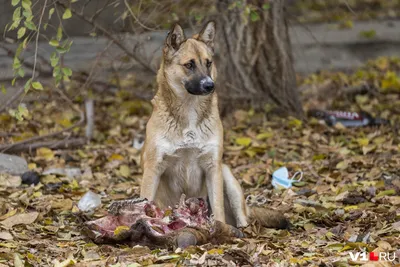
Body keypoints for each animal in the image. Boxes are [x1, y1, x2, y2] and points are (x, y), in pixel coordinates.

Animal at [139, 21, 290, 230]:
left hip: (226, 175)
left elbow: (217, 208)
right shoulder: (153, 168)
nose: (210, 85)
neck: (189, 110)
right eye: (189, 65)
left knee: (243, 221)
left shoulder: (213, 167)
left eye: (208, 63)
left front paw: (220, 230)